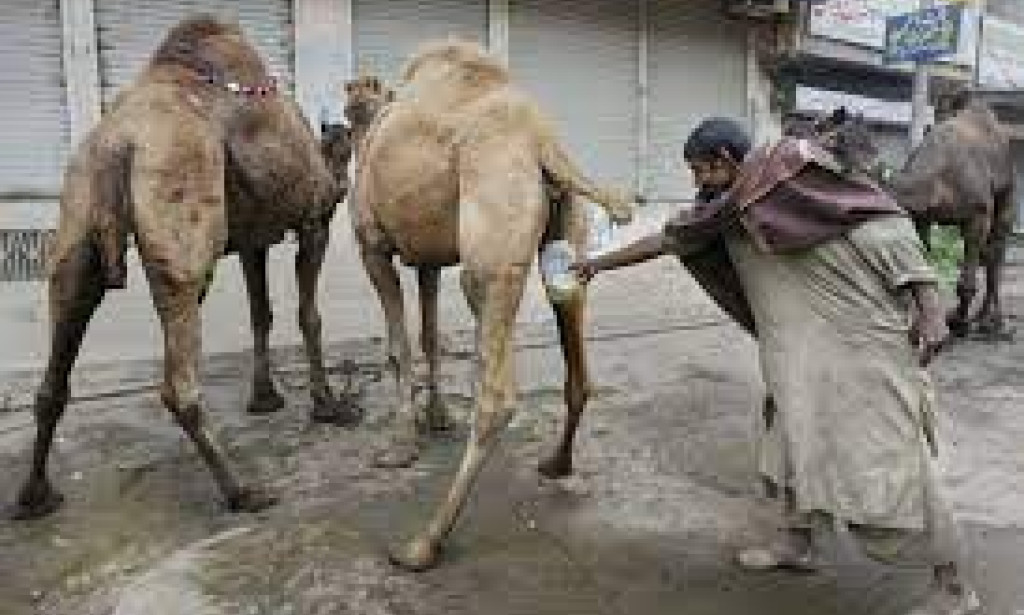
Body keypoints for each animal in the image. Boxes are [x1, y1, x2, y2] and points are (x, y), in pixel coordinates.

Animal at [11, 16, 359, 521]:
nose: (343, 185)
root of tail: (118, 145)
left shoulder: (252, 239)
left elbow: (261, 314)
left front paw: (264, 399)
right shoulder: (313, 221)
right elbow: (307, 316)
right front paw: (329, 406)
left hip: (76, 228)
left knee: (55, 371)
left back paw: (35, 496)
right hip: (182, 225)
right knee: (179, 380)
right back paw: (243, 491)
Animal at [346, 40, 633, 570]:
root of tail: (543, 144)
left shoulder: (372, 245)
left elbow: (399, 347)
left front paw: (400, 448)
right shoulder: (429, 256)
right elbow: (429, 335)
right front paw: (438, 418)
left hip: (488, 243)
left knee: (497, 394)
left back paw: (423, 542)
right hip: (565, 232)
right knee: (574, 344)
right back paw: (555, 464)